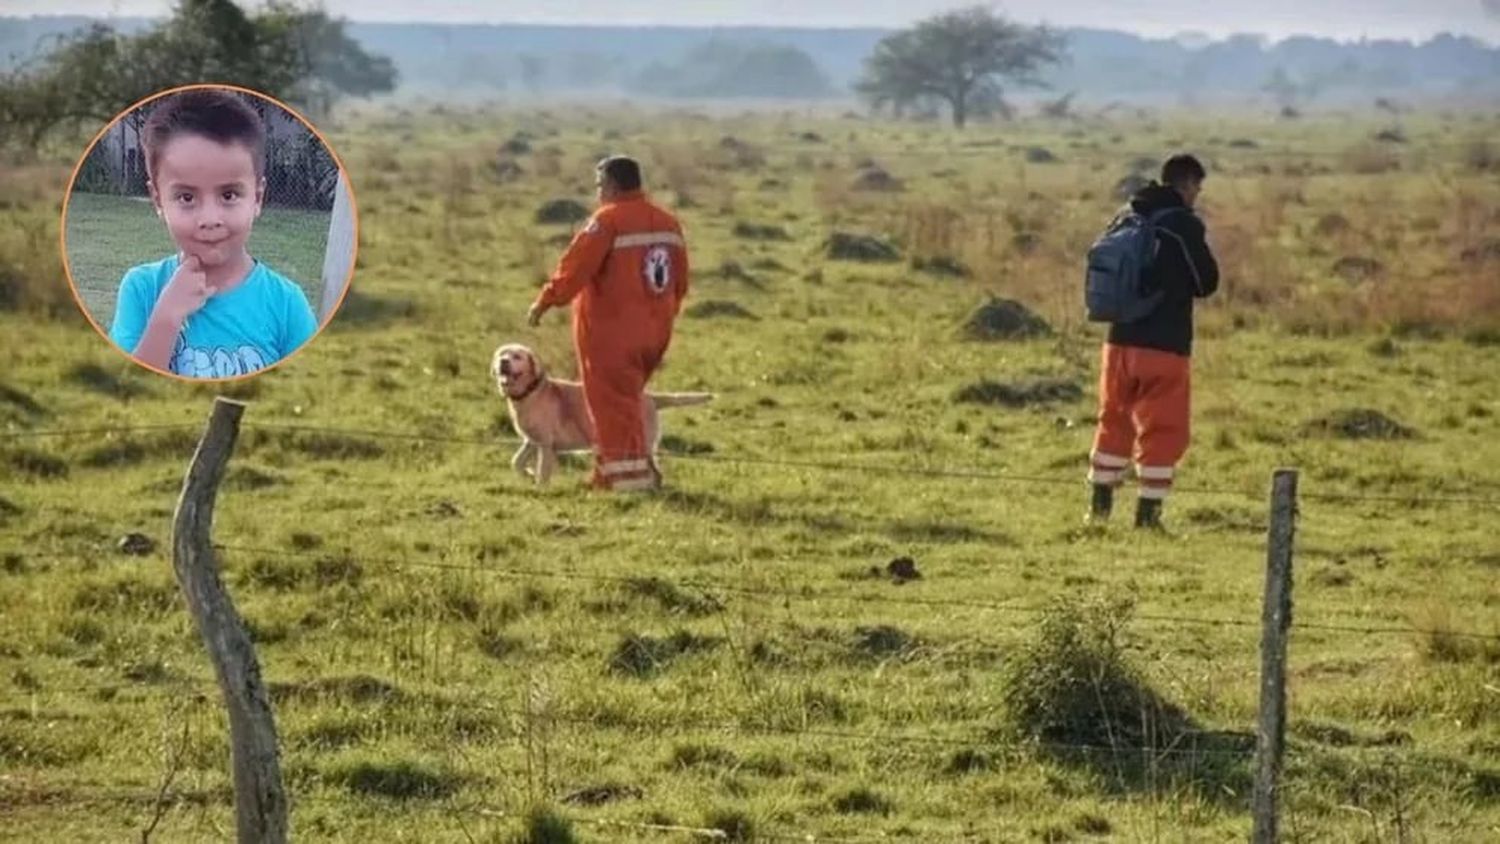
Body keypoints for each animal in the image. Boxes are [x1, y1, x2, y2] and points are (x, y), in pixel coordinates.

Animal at [486, 343, 708, 485]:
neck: (530, 392)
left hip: (640, 444)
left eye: (517, 356)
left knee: (655, 473)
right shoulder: (531, 441)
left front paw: (539, 486)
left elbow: (542, 472)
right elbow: (516, 461)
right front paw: (528, 474)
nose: (503, 362)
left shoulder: (545, 444)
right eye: (501, 354)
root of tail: (651, 396)